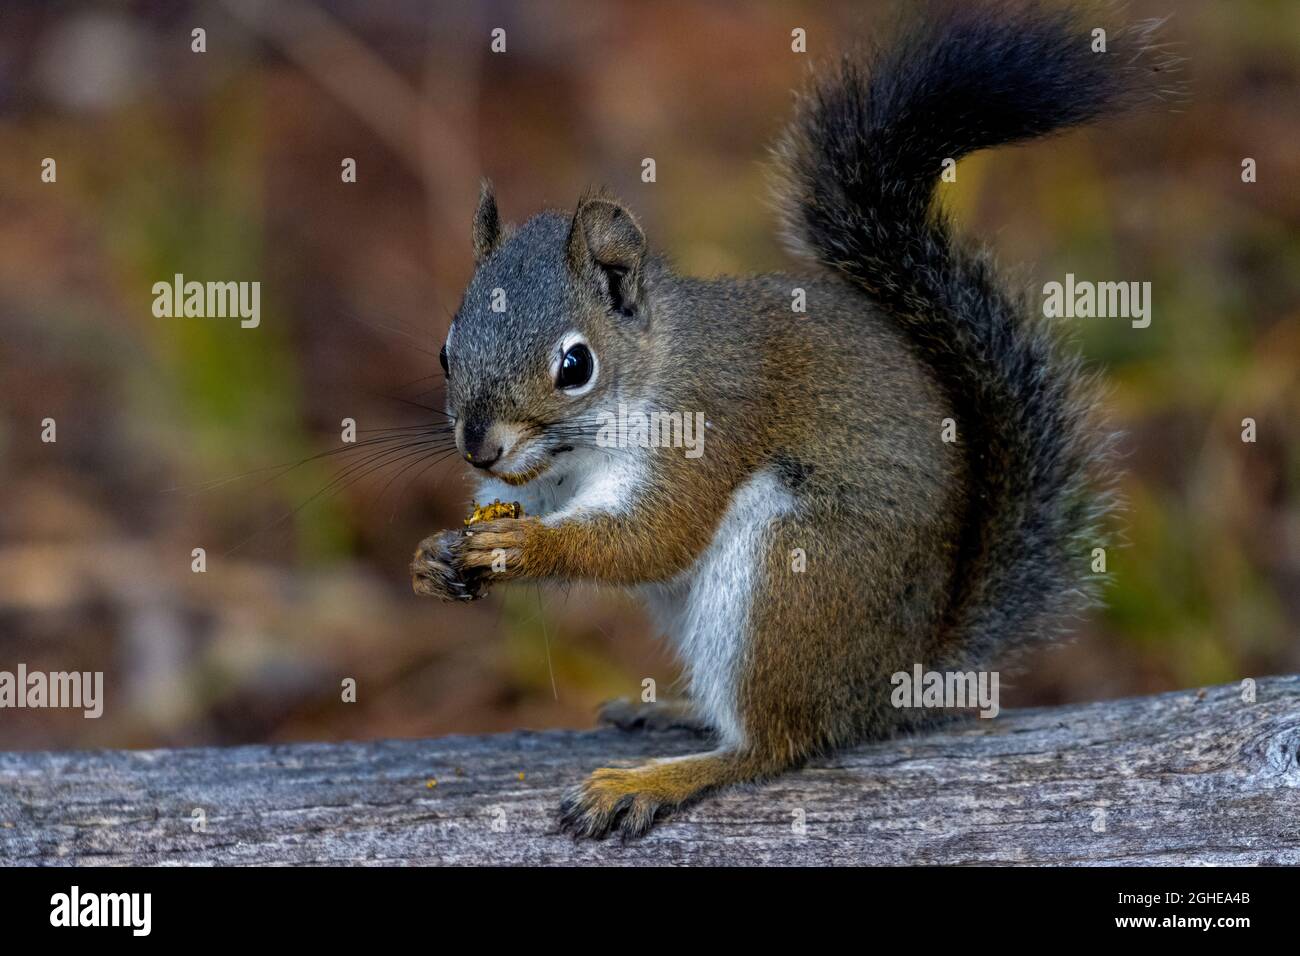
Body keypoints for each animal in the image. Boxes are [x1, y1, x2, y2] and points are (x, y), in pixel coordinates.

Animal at [410, 1, 1175, 837]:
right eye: (445, 349)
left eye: (575, 365)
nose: (479, 447)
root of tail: (889, 681)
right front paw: (435, 557)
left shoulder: (708, 425)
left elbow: (654, 537)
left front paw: (527, 547)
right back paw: (674, 712)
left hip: (789, 572)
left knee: (776, 742)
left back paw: (654, 780)